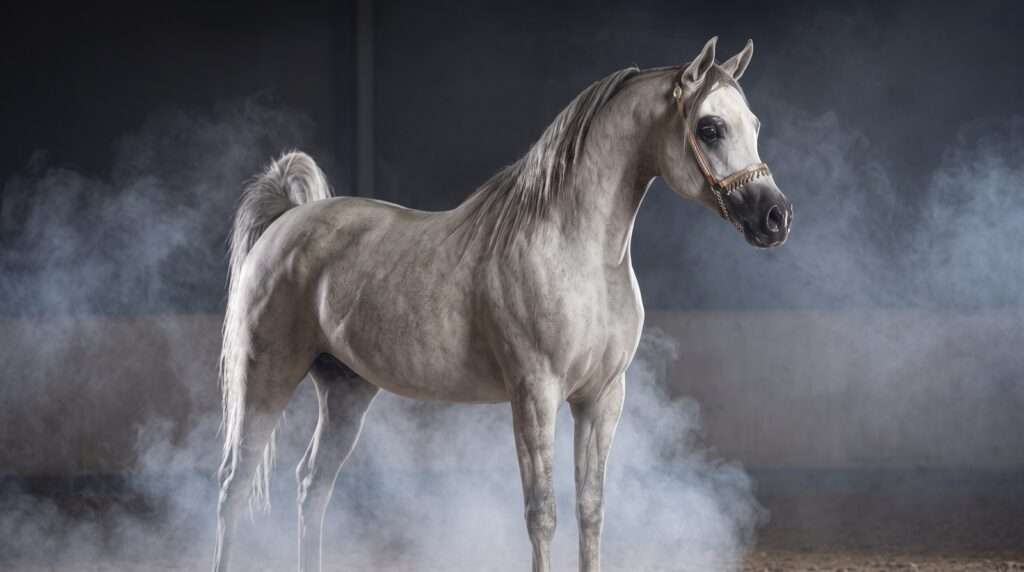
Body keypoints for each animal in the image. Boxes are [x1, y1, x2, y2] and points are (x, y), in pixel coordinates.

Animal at [212, 36, 791, 572]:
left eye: (754, 123)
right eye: (710, 128)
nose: (776, 217)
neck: (575, 250)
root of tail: (288, 219)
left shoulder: (602, 397)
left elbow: (591, 509)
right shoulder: (535, 394)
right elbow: (542, 513)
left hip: (346, 390)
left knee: (312, 485)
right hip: (266, 377)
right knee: (234, 484)